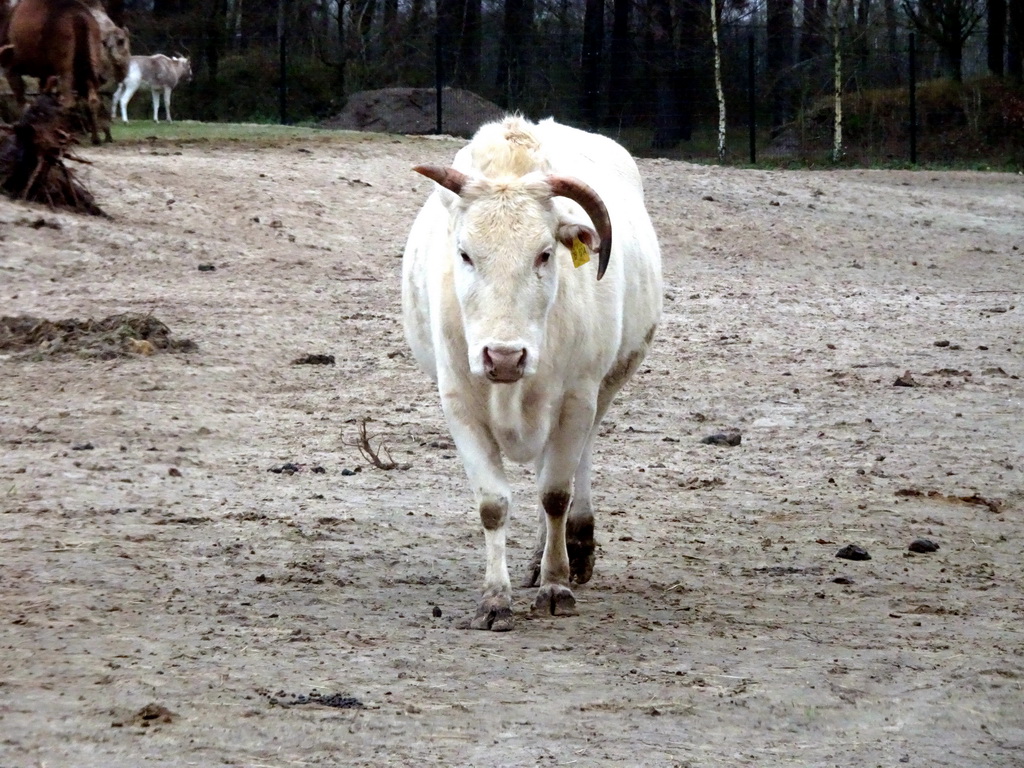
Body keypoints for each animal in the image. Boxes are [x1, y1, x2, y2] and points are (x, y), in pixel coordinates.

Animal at [399, 115, 663, 630]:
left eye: (544, 253)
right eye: (464, 253)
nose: (504, 358)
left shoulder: (577, 397)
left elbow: (555, 494)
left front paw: (557, 586)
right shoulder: (458, 402)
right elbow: (492, 504)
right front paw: (494, 600)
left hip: (601, 390)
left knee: (574, 466)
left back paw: (572, 551)